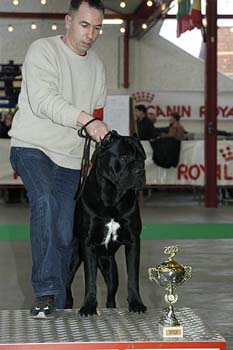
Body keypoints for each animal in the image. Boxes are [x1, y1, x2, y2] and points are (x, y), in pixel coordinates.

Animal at [65, 130, 147, 316]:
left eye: (143, 158)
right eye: (124, 157)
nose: (140, 171)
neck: (113, 198)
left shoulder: (133, 241)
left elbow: (133, 276)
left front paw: (136, 303)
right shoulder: (88, 244)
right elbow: (90, 280)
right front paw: (88, 306)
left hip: (110, 269)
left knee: (111, 295)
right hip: (71, 262)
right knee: (66, 288)